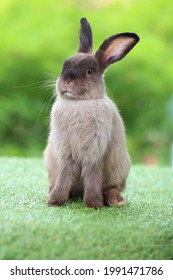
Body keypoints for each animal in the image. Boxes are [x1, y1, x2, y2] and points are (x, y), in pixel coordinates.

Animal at [44, 17, 139, 208]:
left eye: (89, 71)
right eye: (64, 66)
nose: (66, 81)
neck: (79, 103)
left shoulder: (94, 154)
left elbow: (92, 176)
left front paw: (94, 204)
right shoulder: (66, 154)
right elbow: (64, 176)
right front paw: (55, 201)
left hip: (119, 172)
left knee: (111, 187)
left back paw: (115, 201)